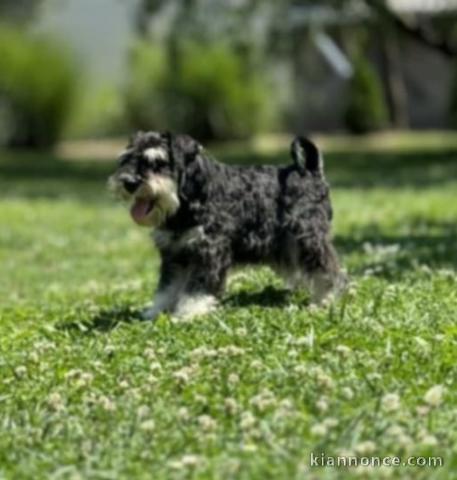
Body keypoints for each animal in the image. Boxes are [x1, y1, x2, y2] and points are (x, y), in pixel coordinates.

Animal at [108, 132, 342, 318]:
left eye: (158, 162)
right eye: (126, 159)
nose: (129, 183)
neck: (191, 197)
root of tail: (311, 172)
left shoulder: (210, 251)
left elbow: (197, 287)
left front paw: (189, 311)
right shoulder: (174, 255)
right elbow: (167, 287)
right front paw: (156, 310)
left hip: (309, 238)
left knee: (329, 269)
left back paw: (325, 298)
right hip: (288, 244)